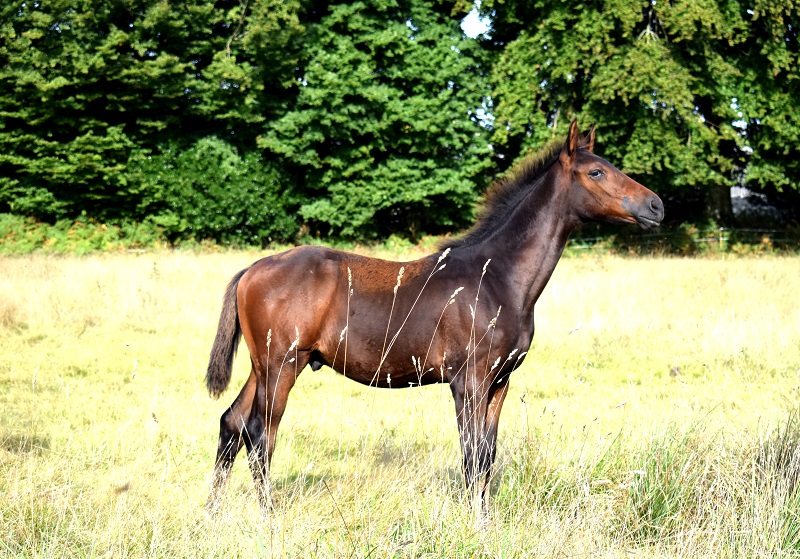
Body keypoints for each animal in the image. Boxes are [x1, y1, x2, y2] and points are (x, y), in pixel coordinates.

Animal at [204, 120, 664, 515]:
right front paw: (476, 523)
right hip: (282, 365)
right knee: (260, 434)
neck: (496, 276)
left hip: (264, 366)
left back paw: (211, 514)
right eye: (596, 172)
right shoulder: (469, 381)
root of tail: (252, 270)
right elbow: (472, 457)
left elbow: (488, 455)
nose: (656, 206)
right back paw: (268, 518)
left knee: (232, 423)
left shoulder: (500, 382)